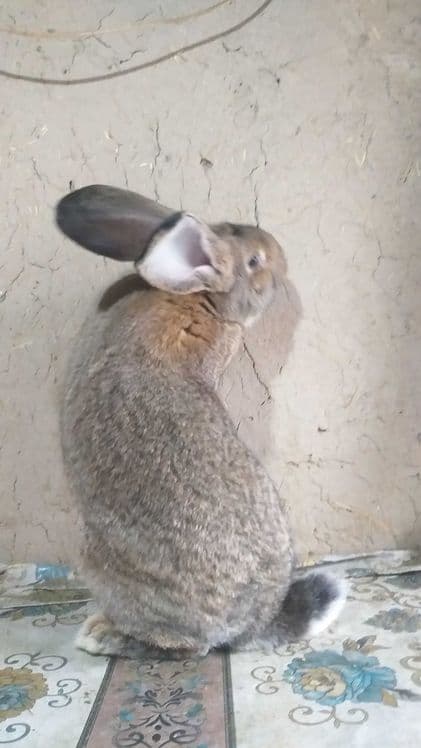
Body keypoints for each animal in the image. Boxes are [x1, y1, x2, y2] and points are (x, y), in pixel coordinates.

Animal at [56, 185, 346, 659]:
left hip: (102, 565)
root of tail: (248, 629)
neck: (202, 299)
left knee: (188, 649)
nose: (280, 256)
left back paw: (102, 635)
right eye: (255, 260)